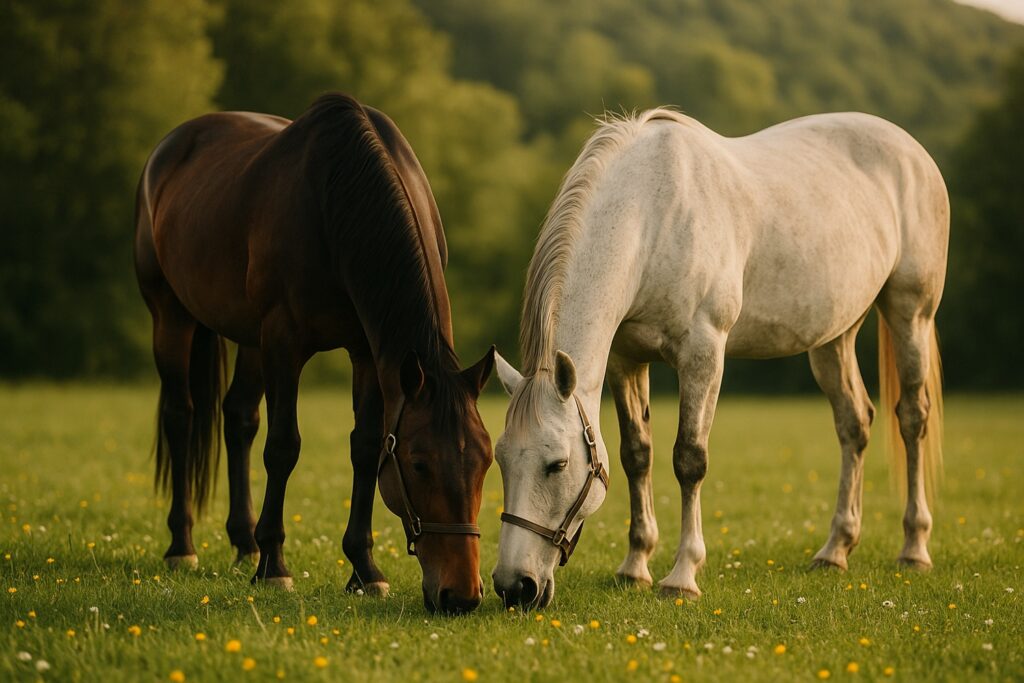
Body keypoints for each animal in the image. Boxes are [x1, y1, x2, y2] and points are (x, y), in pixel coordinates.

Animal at [134, 93, 495, 614]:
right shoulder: (284, 341)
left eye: (486, 461)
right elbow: (283, 447)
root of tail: (170, 147)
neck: (338, 199)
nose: (461, 595)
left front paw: (364, 569)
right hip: (172, 315)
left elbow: (365, 448)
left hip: (249, 339)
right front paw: (274, 567)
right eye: (419, 463)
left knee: (238, 418)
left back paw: (244, 542)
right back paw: (183, 546)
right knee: (181, 416)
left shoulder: (367, 352)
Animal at [491, 108, 947, 609]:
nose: (514, 586)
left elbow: (689, 459)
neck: (651, 215)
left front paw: (682, 575)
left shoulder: (703, 353)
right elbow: (637, 456)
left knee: (912, 419)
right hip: (835, 336)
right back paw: (835, 550)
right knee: (855, 423)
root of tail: (913, 151)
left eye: (557, 464)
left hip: (911, 314)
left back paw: (915, 547)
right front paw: (635, 566)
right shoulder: (626, 361)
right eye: (500, 459)